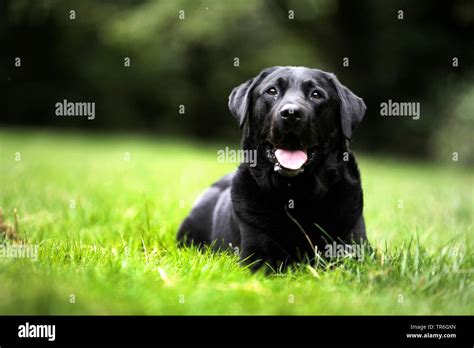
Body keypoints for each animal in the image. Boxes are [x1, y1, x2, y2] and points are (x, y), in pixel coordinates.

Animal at [178, 66, 366, 272]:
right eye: (272, 91)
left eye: (316, 95)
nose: (291, 113)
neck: (296, 195)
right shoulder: (255, 254)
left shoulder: (354, 250)